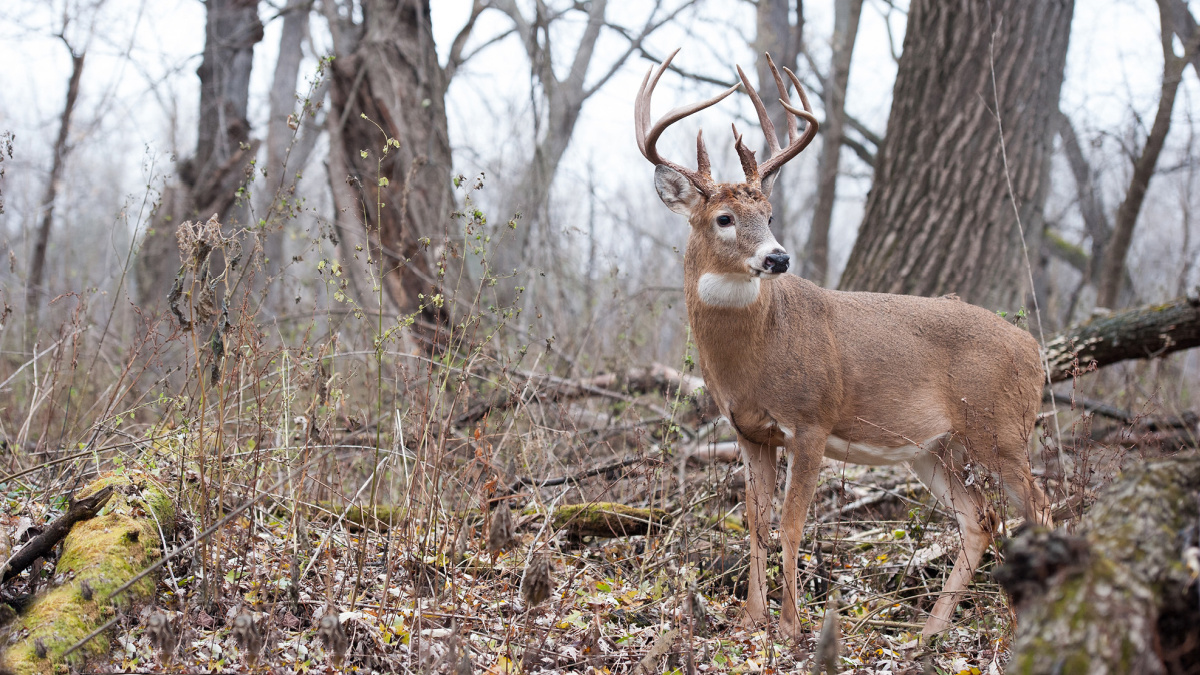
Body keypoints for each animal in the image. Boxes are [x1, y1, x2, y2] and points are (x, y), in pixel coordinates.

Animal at [638, 52, 1051, 634]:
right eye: (724, 218)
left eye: (769, 216)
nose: (778, 257)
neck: (756, 353)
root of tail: (1034, 349)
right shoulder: (749, 430)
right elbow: (755, 520)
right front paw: (751, 620)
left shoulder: (811, 419)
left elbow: (791, 525)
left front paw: (791, 627)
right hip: (935, 448)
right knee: (982, 517)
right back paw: (926, 636)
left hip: (1002, 428)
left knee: (1041, 505)